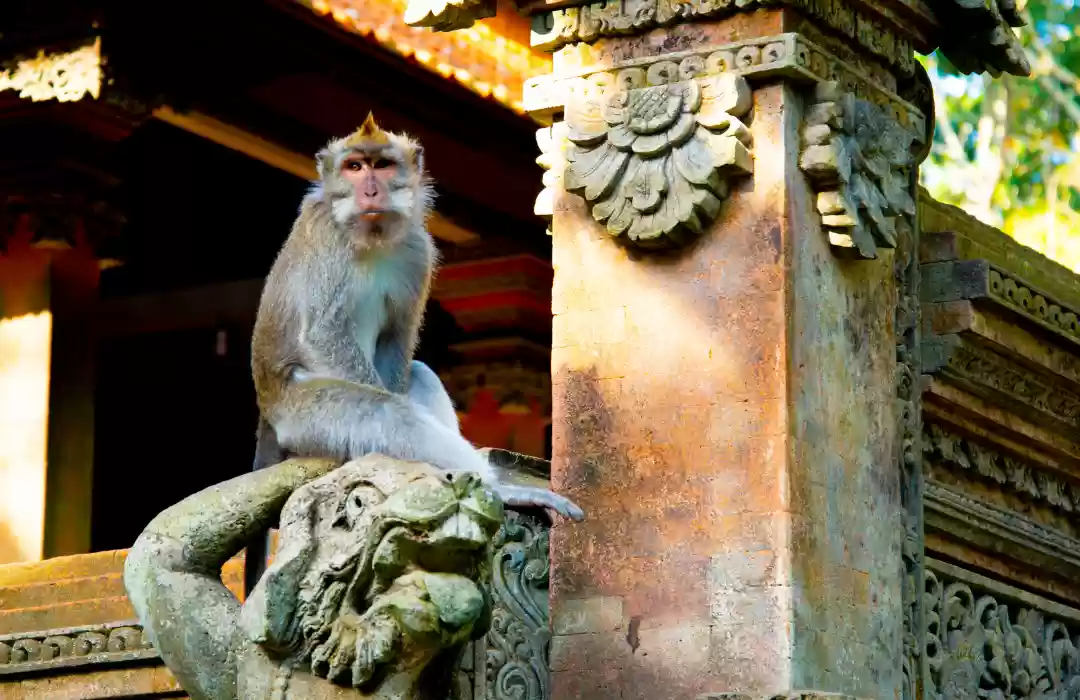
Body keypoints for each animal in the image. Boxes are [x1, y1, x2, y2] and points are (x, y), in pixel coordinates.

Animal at [248, 113, 584, 527]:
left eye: (382, 165)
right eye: (354, 167)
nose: (371, 191)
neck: (371, 237)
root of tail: (268, 412)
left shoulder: (418, 248)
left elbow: (397, 334)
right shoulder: (327, 236)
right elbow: (325, 332)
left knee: (419, 374)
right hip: (303, 411)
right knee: (387, 412)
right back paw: (501, 489)